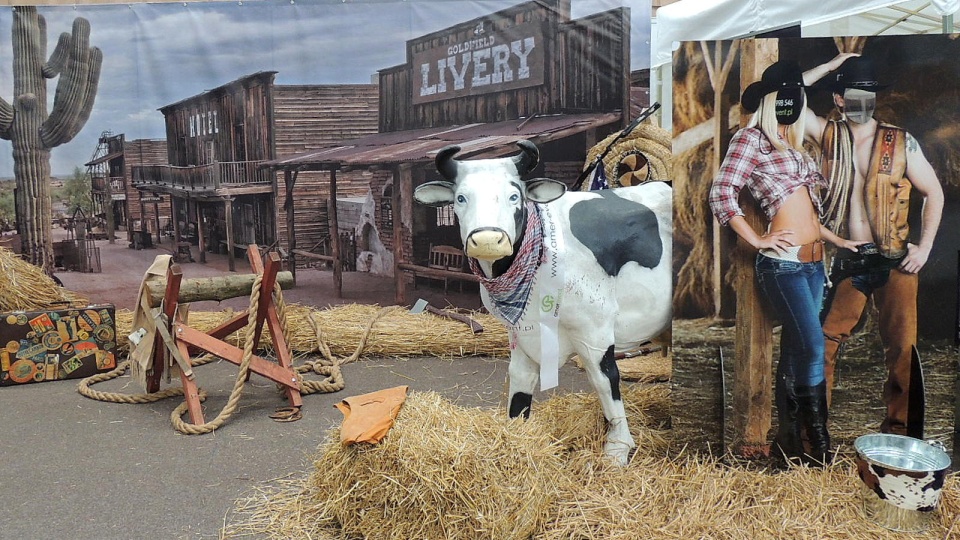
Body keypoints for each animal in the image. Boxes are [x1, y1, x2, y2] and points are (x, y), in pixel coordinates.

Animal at [414, 139, 676, 464]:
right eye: (461, 198)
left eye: (515, 195)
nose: (487, 240)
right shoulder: (520, 332)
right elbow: (520, 381)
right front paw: (515, 438)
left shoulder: (595, 330)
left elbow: (604, 379)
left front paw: (617, 449)